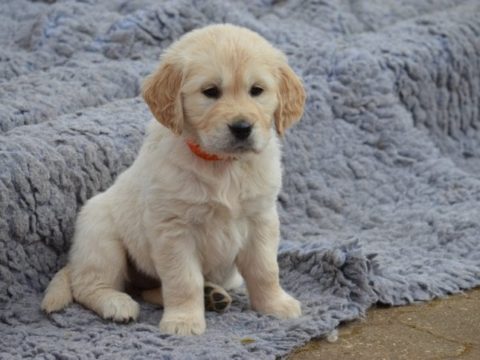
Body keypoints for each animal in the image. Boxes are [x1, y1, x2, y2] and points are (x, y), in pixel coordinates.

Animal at [40, 23, 304, 336]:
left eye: (257, 91)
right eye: (210, 92)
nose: (242, 128)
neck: (222, 165)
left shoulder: (260, 218)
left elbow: (265, 269)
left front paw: (275, 305)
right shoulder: (174, 229)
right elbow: (183, 280)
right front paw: (184, 321)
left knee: (150, 289)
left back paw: (211, 295)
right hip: (101, 235)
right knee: (89, 284)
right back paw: (117, 303)